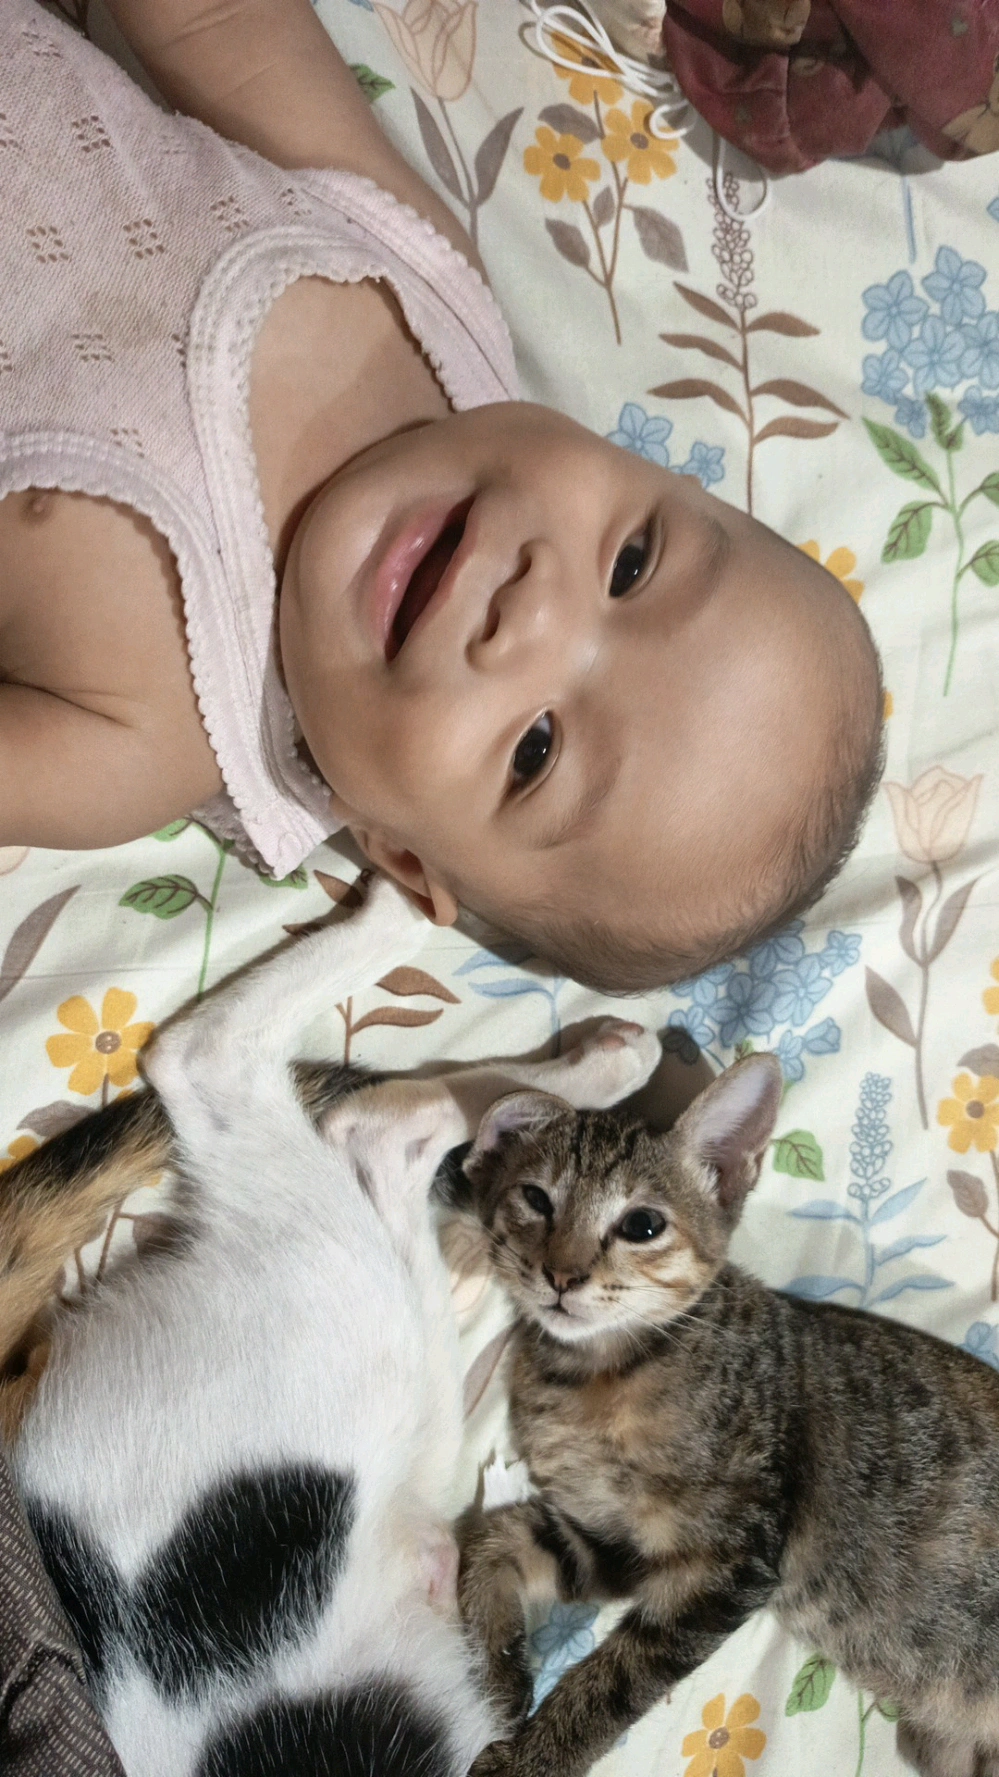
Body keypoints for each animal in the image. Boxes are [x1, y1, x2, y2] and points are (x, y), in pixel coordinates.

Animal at [457, 1053, 999, 1777]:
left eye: (642, 1225)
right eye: (536, 1199)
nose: (561, 1276)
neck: (594, 1374)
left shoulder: (729, 1559)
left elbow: (612, 1678)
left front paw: (533, 1758)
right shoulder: (615, 1544)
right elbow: (491, 1538)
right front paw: (491, 1678)